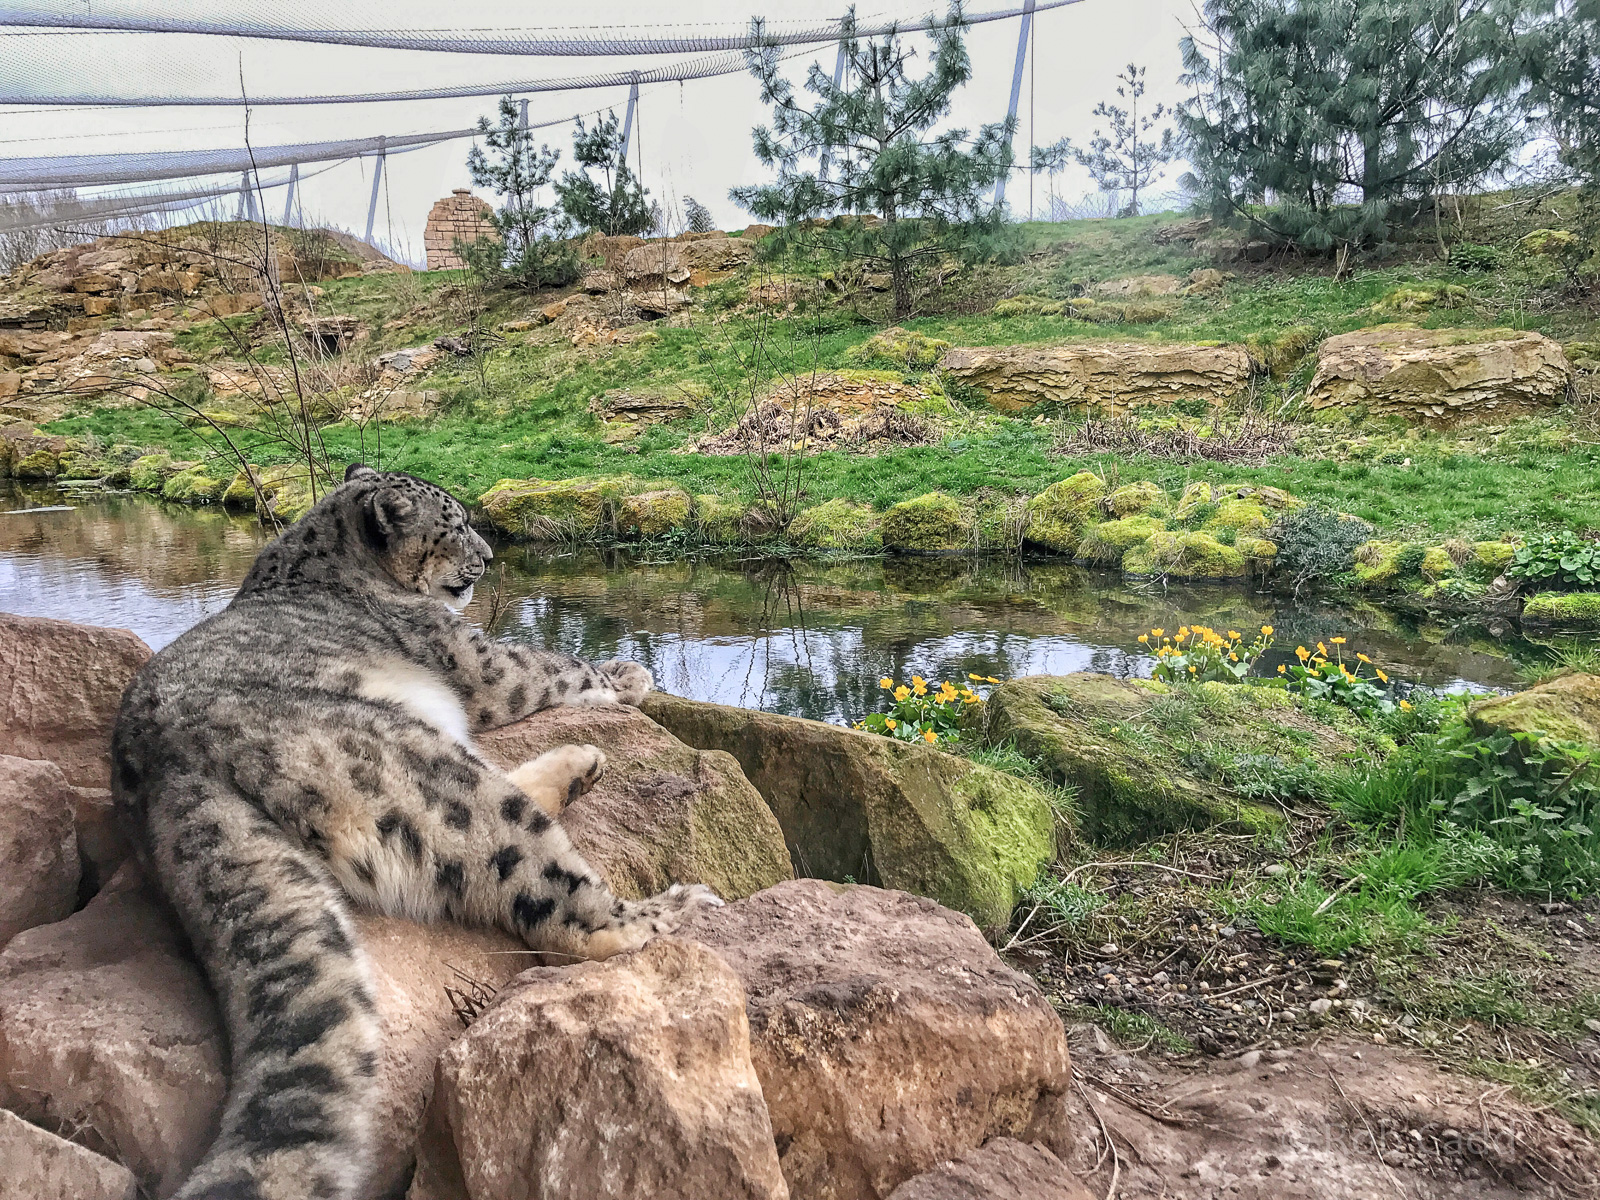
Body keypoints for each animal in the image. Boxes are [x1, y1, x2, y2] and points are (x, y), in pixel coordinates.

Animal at [111, 464, 719, 1200]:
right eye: (454, 525)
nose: (489, 557)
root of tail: (167, 765)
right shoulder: (473, 656)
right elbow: (546, 664)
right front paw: (624, 674)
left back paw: (583, 765)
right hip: (426, 770)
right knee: (556, 899)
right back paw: (677, 903)